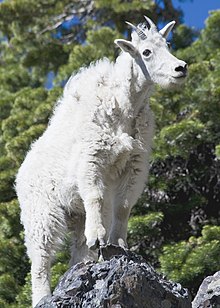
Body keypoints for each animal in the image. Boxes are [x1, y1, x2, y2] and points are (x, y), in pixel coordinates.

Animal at [15, 17, 187, 308]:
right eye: (146, 52)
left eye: (168, 45)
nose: (181, 68)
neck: (126, 107)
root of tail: (21, 173)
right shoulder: (91, 160)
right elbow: (95, 195)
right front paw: (99, 236)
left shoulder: (135, 164)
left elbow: (124, 206)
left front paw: (117, 243)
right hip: (41, 214)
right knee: (40, 259)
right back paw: (44, 295)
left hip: (76, 214)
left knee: (78, 247)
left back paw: (83, 264)